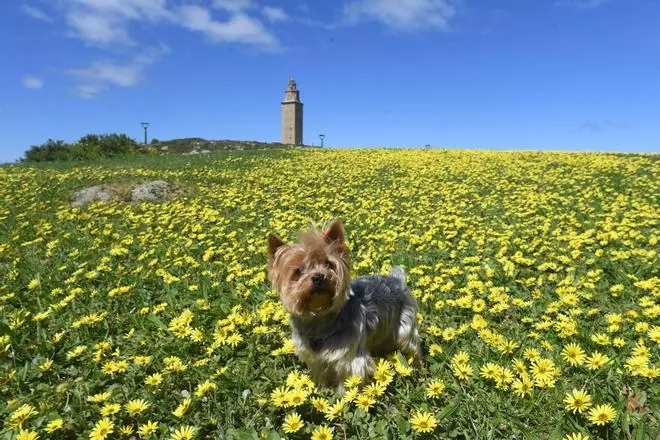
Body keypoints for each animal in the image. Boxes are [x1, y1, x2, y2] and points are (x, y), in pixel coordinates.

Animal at [268, 219, 422, 388]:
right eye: (298, 271)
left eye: (328, 264)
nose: (319, 277)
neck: (319, 318)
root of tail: (397, 279)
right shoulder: (315, 359)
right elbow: (321, 374)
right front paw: (322, 389)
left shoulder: (350, 358)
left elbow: (348, 382)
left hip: (404, 324)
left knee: (412, 344)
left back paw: (417, 366)